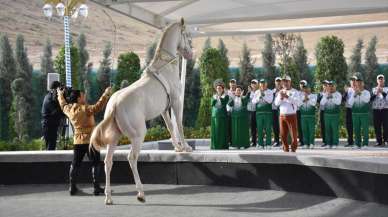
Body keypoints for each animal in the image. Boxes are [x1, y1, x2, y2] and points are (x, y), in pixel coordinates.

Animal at [90, 18, 194, 205]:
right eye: (187, 35)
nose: (190, 54)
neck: (165, 67)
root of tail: (114, 105)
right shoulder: (176, 101)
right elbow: (179, 124)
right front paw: (186, 147)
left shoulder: (163, 109)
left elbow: (169, 126)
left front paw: (177, 148)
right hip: (138, 135)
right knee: (131, 158)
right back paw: (140, 193)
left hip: (114, 138)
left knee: (108, 161)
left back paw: (108, 197)